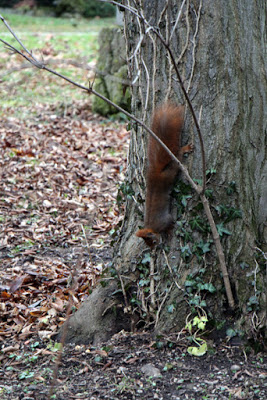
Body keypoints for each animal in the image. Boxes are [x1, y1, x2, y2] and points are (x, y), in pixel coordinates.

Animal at [136, 103, 193, 247]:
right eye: (148, 243)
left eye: (152, 241)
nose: (154, 248)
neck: (152, 227)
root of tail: (156, 172)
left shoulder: (164, 220)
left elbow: (170, 222)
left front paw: (169, 231)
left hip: (170, 172)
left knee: (178, 156)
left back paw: (185, 149)